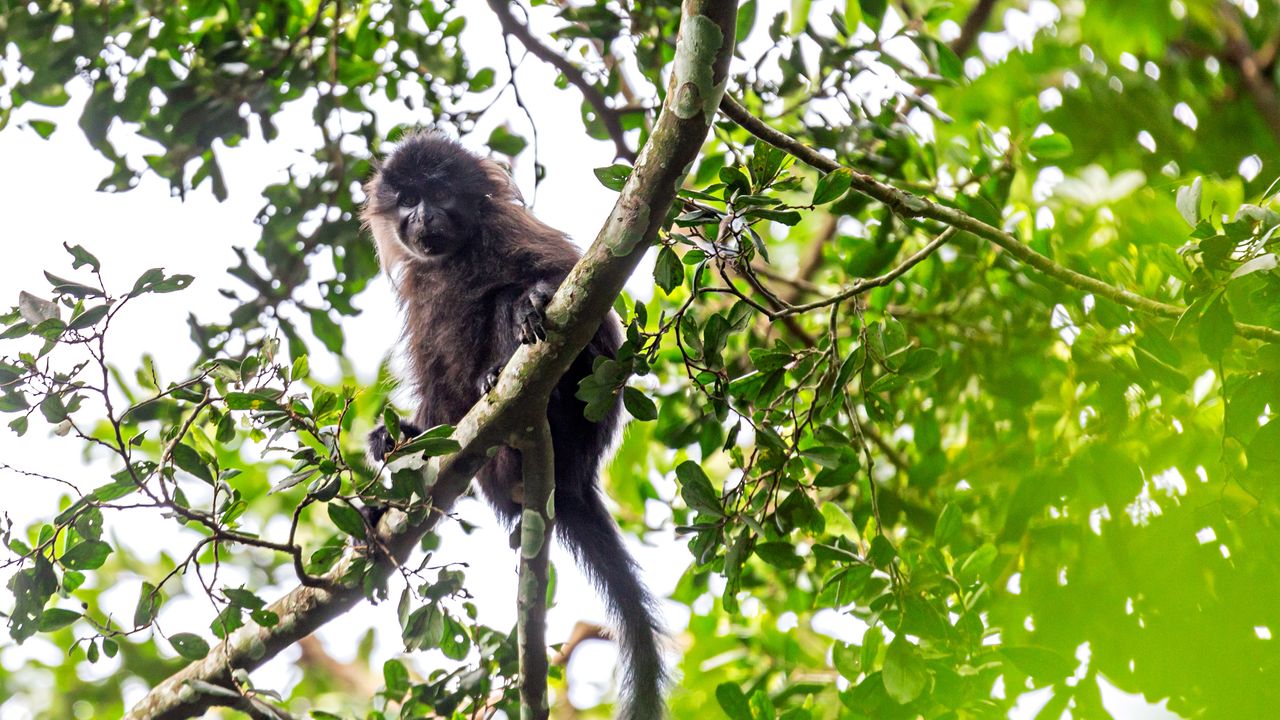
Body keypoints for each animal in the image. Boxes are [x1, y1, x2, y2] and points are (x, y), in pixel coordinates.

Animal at [361, 130, 665, 720]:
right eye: (407, 200)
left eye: (439, 193)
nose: (422, 215)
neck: (453, 255)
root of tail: (574, 477)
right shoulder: (417, 283)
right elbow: (436, 390)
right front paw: (396, 440)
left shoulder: (508, 228)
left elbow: (574, 284)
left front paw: (534, 300)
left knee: (510, 304)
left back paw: (508, 366)